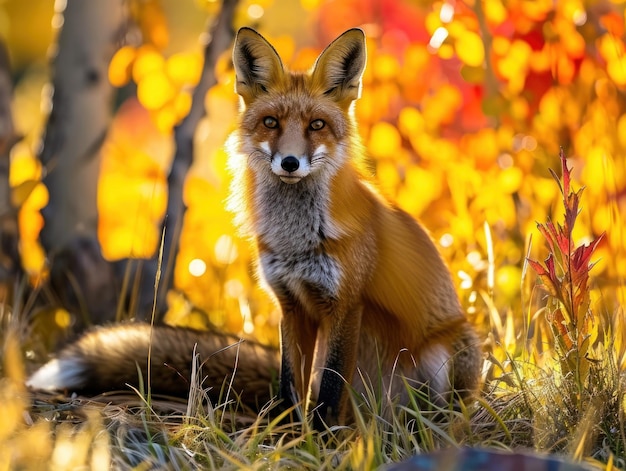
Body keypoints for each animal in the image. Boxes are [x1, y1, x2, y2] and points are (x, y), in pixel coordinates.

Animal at [26, 26, 480, 428]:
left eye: (316, 125)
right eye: (271, 122)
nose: (290, 163)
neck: (295, 240)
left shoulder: (344, 305)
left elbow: (328, 389)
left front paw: (323, 440)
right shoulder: (291, 303)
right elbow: (290, 384)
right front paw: (290, 437)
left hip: (445, 353)